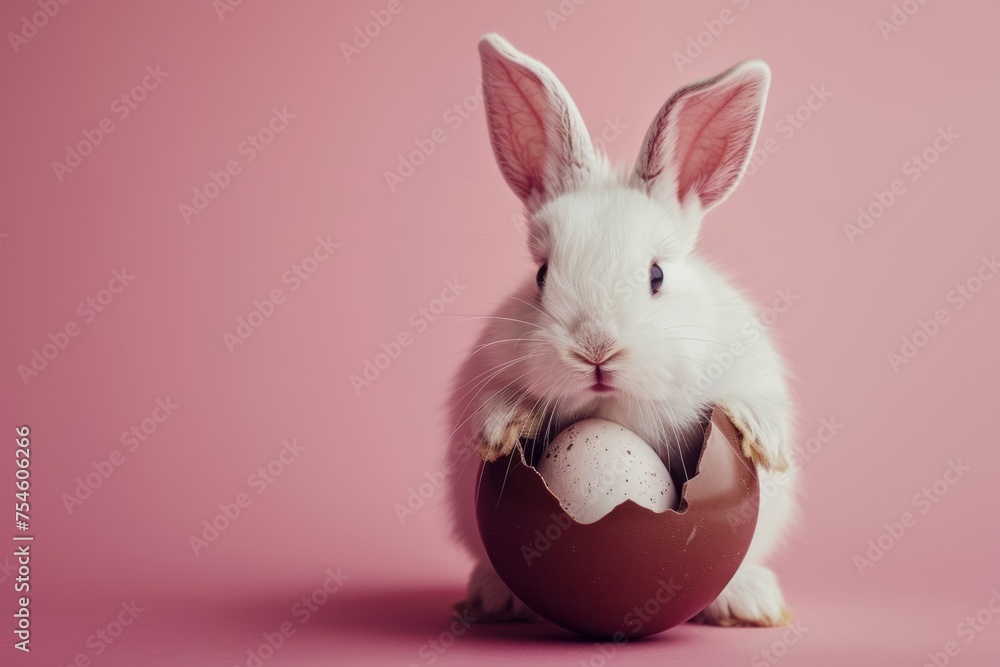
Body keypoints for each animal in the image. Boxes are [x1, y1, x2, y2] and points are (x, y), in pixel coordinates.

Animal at [444, 33, 798, 628]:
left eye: (656, 275)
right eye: (541, 275)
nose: (596, 350)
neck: (612, 406)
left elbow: (754, 403)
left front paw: (762, 436)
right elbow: (496, 401)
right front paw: (499, 429)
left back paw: (751, 602)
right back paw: (492, 598)